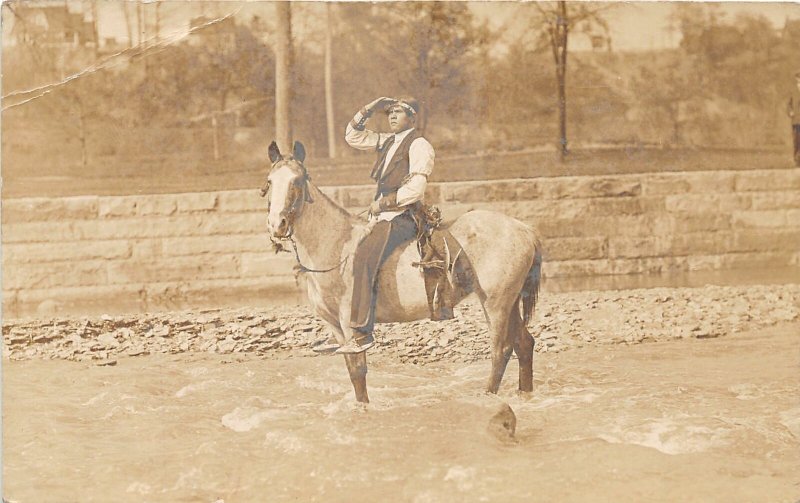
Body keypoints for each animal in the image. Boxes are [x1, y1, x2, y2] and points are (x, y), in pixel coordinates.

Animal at [262, 143, 544, 406]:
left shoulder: (350, 326)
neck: (336, 244)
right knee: (524, 344)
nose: (277, 225)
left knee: (501, 351)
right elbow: (353, 373)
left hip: (495, 305)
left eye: (297, 181)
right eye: (270, 181)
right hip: (510, 303)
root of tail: (524, 229)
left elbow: (359, 372)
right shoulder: (335, 326)